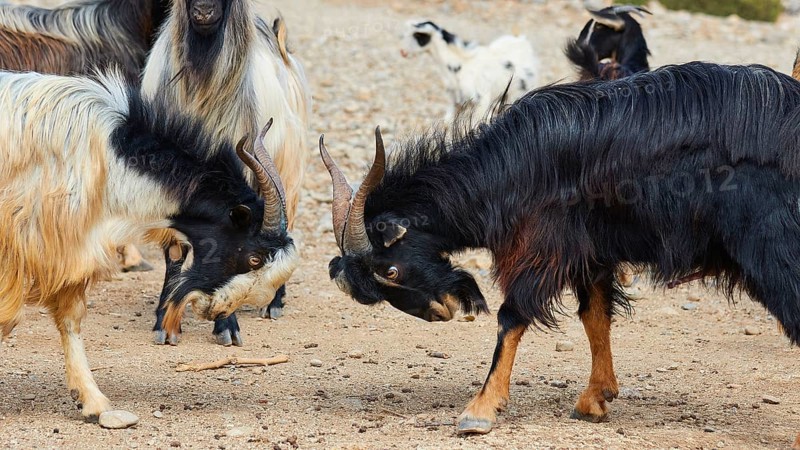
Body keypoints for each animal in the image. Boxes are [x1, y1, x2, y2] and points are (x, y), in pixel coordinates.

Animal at [0, 69, 298, 421]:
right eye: (253, 258)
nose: (217, 310)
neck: (108, 159)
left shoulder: (71, 250)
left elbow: (69, 320)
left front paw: (92, 402)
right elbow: (8, 319)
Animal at [141, 0, 311, 346]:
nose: (204, 12)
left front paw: (226, 326)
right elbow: (176, 251)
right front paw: (164, 320)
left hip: (288, 172)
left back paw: (274, 303)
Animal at [320, 62, 800, 436]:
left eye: (391, 270)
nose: (444, 310)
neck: (511, 164)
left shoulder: (543, 244)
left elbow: (512, 316)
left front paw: (479, 411)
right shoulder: (591, 249)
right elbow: (595, 315)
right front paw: (596, 399)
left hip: (775, 254)